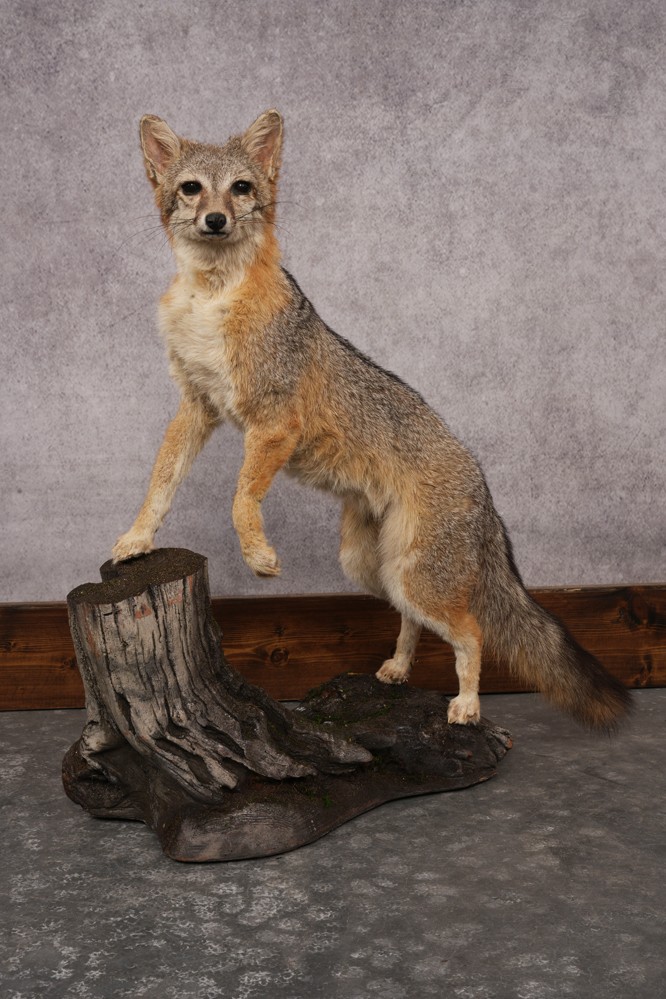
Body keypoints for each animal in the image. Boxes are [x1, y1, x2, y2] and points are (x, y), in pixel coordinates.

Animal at [112, 109, 631, 729]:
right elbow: (160, 483)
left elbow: (240, 499)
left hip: (414, 576)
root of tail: (482, 484)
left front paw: (258, 557)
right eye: (192, 188)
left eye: (240, 188)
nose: (216, 219)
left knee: (471, 633)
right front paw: (137, 540)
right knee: (413, 621)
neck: (212, 298)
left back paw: (467, 704)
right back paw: (400, 669)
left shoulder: (274, 424)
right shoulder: (197, 406)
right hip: (369, 568)